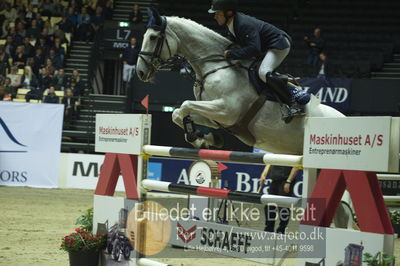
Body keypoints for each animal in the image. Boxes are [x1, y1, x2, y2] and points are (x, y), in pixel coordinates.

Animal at [137, 10, 344, 156]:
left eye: (153, 37)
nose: (140, 72)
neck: (215, 66)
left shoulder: (226, 110)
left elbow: (186, 105)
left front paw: (200, 138)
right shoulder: (216, 116)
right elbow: (179, 113)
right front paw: (206, 139)